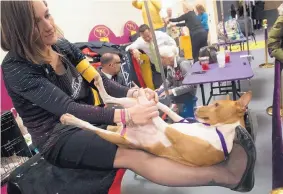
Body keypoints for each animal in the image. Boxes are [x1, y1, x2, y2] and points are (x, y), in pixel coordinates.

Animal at [60, 74, 253, 167]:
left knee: (91, 125)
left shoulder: (175, 133)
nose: (196, 110)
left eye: (217, 104)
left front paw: (147, 99)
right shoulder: (179, 121)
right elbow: (163, 107)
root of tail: (123, 128)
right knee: (110, 99)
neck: (217, 129)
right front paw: (150, 95)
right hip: (127, 108)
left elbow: (159, 118)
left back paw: (69, 118)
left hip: (115, 137)